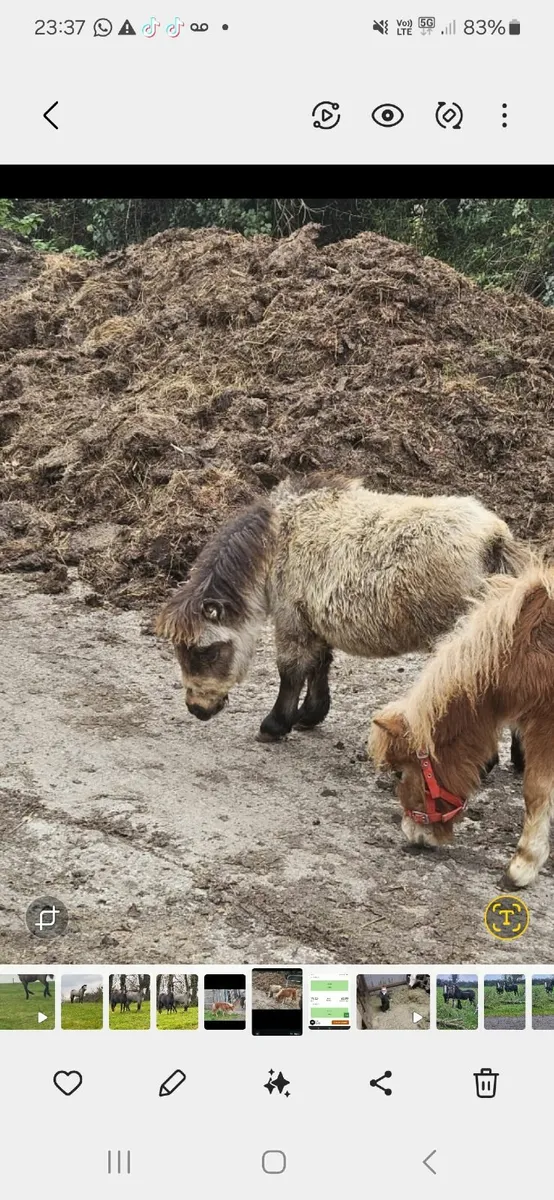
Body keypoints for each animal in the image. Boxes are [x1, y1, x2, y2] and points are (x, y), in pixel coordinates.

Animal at [155, 476, 528, 746]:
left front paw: (274, 725)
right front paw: (309, 715)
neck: (278, 539)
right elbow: (319, 665)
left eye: (205, 651)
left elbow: (290, 672)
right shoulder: (313, 619)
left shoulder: (291, 618)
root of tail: (493, 540)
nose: (197, 709)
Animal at [369, 562, 554, 889]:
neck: (525, 646)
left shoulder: (543, 725)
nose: (413, 835)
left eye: (400, 773)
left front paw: (523, 863)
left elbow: (536, 791)